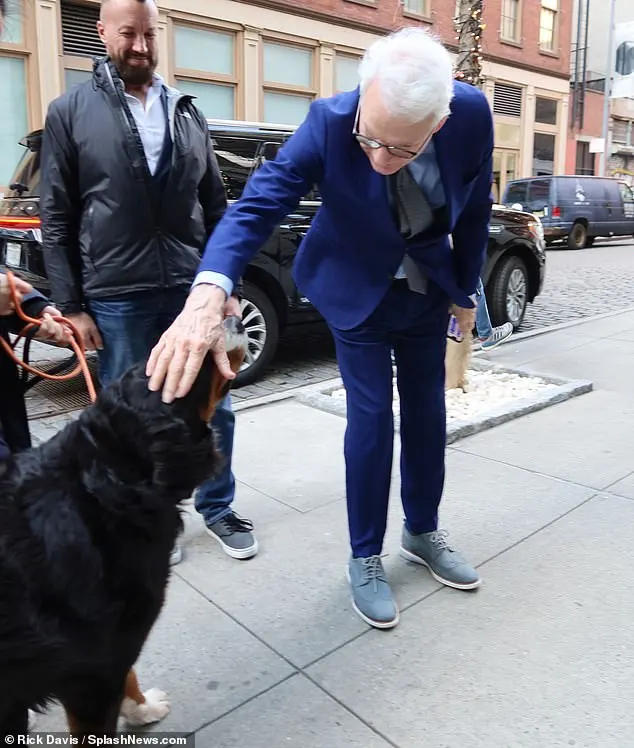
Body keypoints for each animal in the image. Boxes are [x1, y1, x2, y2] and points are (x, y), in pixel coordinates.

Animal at [0, 314, 247, 736]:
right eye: (192, 359)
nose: (231, 316)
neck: (113, 477)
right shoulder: (90, 674)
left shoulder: (112, 649)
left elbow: (128, 674)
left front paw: (141, 707)